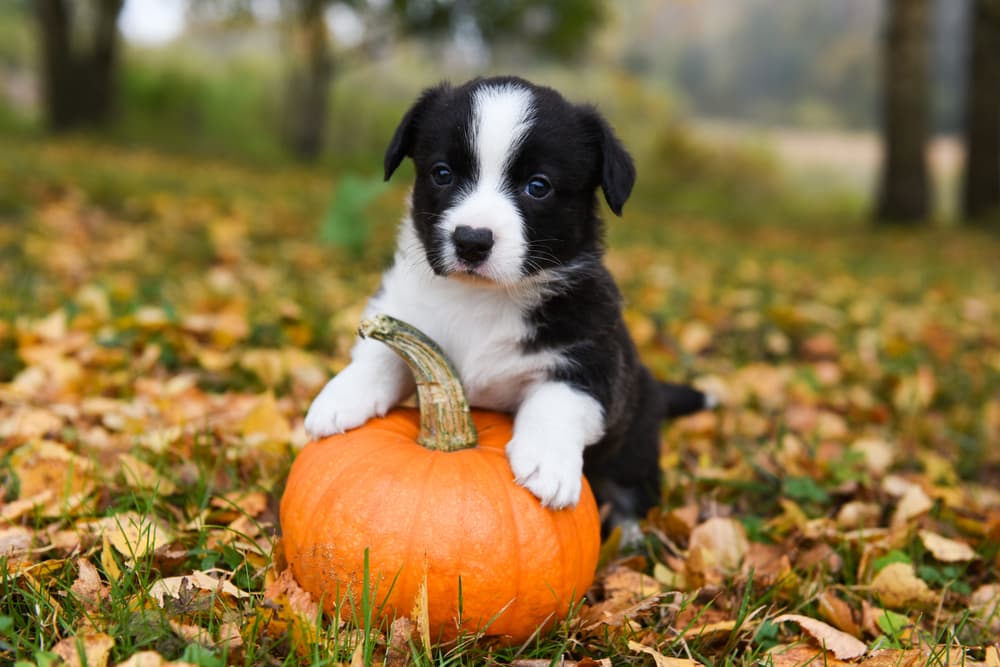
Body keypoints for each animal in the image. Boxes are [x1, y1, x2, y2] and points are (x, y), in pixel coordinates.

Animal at [304, 75, 712, 528]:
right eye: (442, 174)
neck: (481, 299)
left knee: (630, 493)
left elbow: (559, 400)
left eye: (538, 186)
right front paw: (341, 396)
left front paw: (547, 464)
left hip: (634, 443)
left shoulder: (594, 356)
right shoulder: (401, 305)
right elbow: (384, 353)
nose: (471, 240)